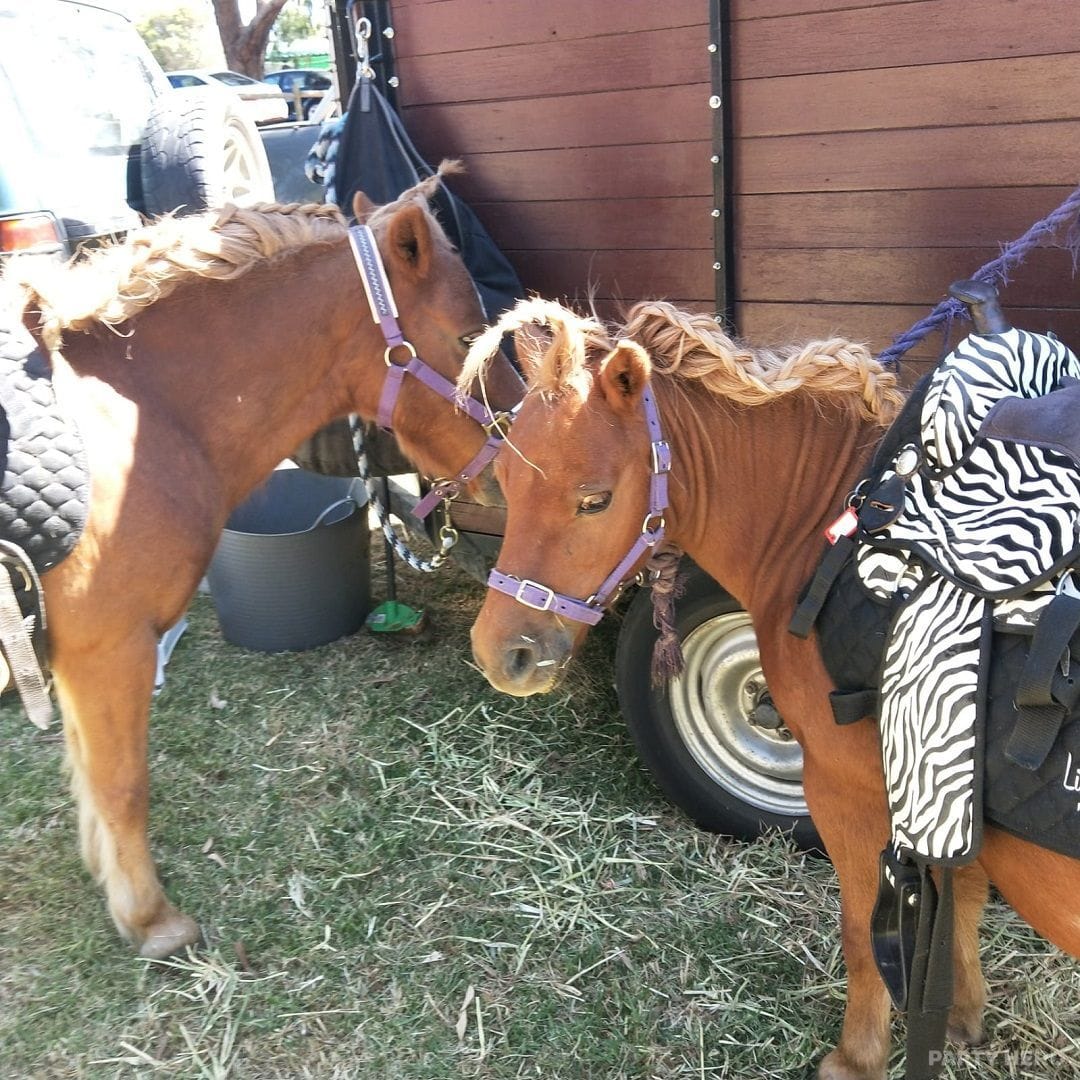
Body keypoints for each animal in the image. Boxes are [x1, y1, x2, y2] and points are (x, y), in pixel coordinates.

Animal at [1, 164, 522, 958]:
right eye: (468, 335)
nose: (524, 460)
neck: (134, 412)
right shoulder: (107, 646)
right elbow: (121, 784)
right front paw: (151, 920)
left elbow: (88, 776)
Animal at [461, 297, 1080, 1080]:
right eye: (506, 484)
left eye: (594, 501)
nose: (500, 653)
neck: (829, 534)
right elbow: (959, 888)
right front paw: (956, 1018)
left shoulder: (848, 791)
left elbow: (862, 929)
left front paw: (857, 1057)